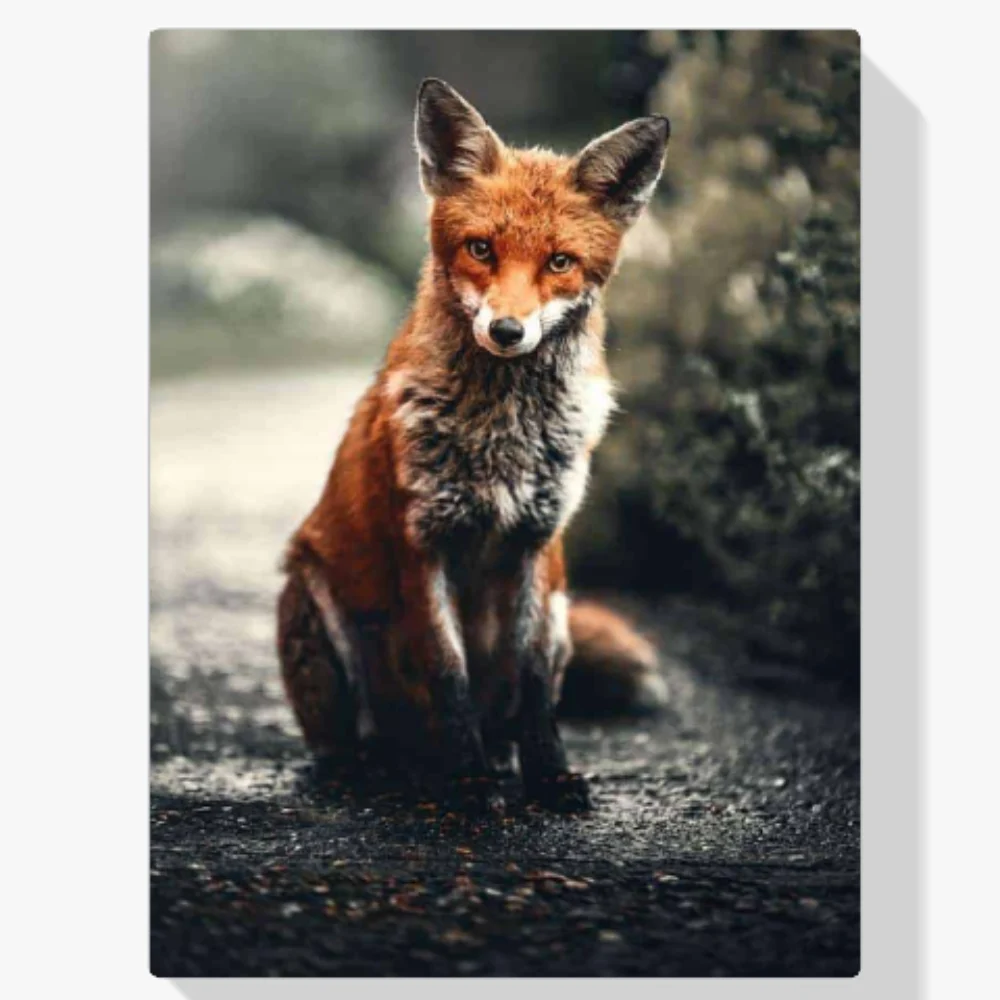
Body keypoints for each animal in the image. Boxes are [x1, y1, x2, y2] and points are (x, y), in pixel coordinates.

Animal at [277, 79, 670, 814]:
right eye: (481, 249)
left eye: (560, 262)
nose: (508, 331)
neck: (502, 435)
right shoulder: (422, 542)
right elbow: (448, 674)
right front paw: (468, 782)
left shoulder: (538, 546)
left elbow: (536, 687)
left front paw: (548, 775)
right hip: (312, 600)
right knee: (353, 739)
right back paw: (376, 768)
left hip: (563, 610)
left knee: (509, 711)